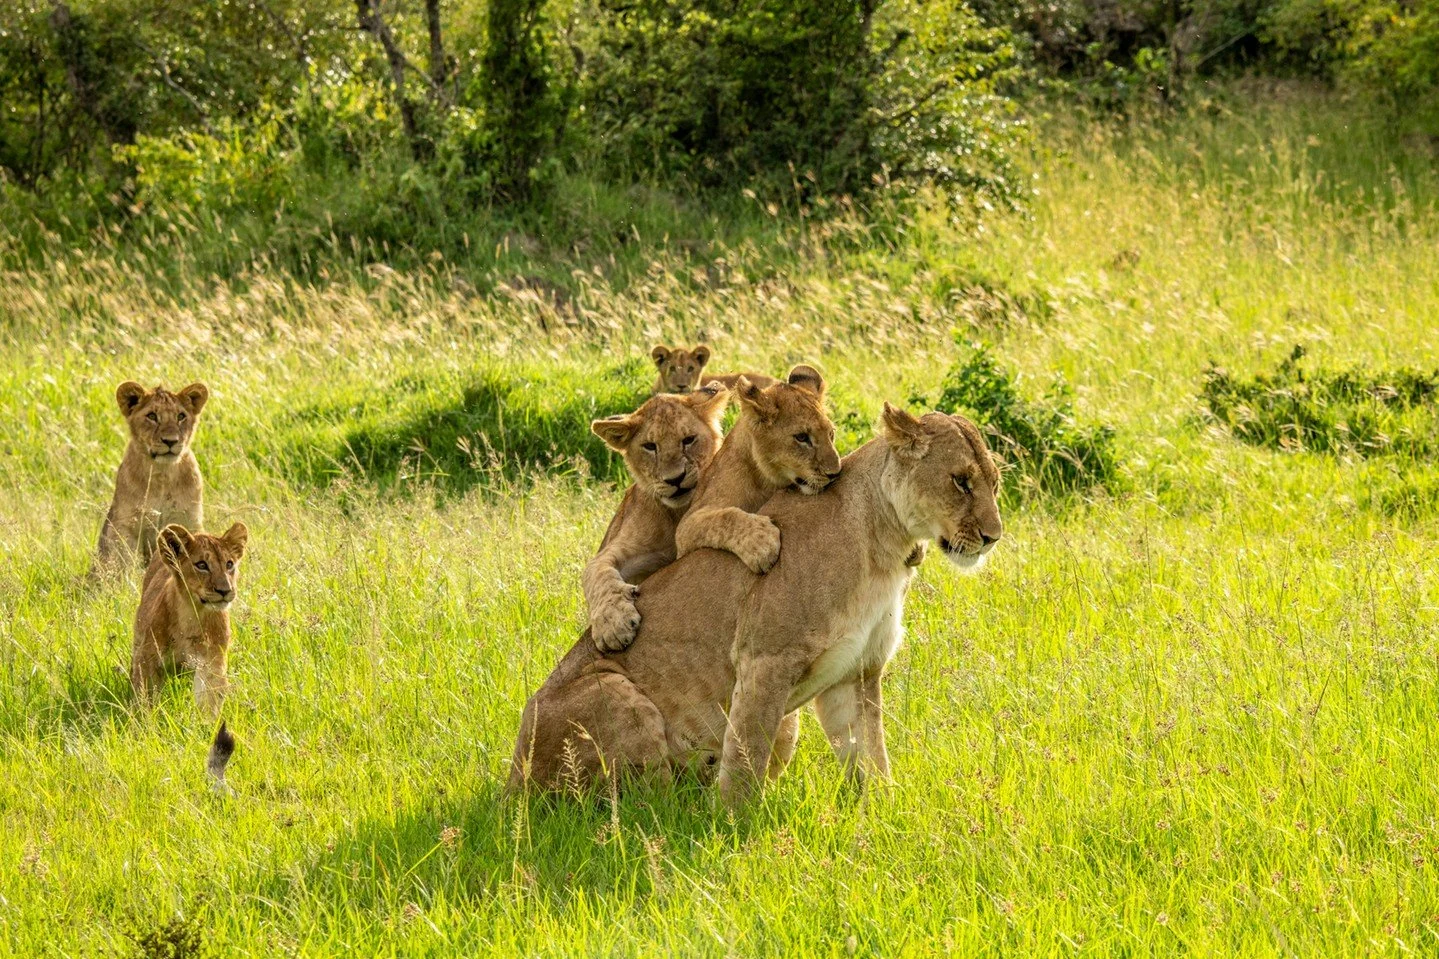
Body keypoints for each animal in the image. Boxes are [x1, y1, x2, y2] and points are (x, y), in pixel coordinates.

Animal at [94, 381, 209, 572]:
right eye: (152, 416)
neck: (162, 474)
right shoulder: (125, 526)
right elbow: (124, 563)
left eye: (181, 416)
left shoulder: (188, 521)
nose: (170, 441)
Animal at [131, 522, 248, 716]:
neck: (192, 614)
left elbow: (209, 699)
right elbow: (145, 700)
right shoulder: (147, 659)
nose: (225, 590)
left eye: (229, 564)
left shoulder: (211, 662)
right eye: (201, 565)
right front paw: (144, 721)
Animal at [583, 386, 731, 652]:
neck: (677, 512)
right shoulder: (621, 548)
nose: (675, 479)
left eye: (688, 440)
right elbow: (597, 573)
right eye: (650, 446)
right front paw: (613, 624)